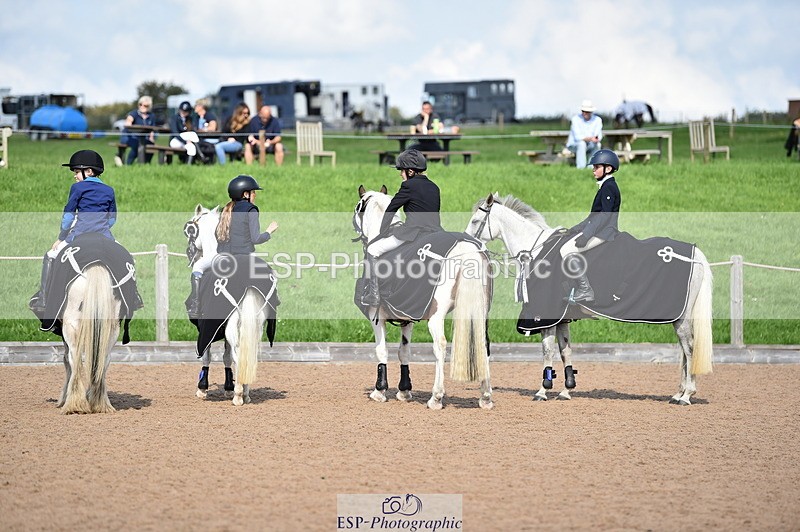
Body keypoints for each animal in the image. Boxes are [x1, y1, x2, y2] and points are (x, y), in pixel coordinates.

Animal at [59, 265, 122, 414]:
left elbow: (66, 360)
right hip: (112, 331)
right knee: (103, 362)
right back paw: (99, 403)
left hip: (71, 328)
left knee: (74, 360)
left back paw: (74, 404)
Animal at [184, 204, 270, 406]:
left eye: (191, 230)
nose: (190, 253)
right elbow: (226, 357)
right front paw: (228, 386)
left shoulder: (206, 328)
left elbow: (207, 355)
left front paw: (203, 388)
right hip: (255, 326)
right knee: (247, 355)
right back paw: (245, 392)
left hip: (232, 327)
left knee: (239, 356)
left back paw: (239, 395)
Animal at [354, 186, 494, 410]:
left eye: (358, 207)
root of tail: (466, 249)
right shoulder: (407, 316)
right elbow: (404, 351)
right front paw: (404, 391)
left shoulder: (377, 316)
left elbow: (381, 351)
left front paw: (379, 390)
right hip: (482, 312)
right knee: (483, 345)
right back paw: (485, 397)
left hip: (437, 316)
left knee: (440, 346)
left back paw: (436, 397)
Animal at [466, 193, 713, 405]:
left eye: (475, 220)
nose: (468, 242)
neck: (537, 252)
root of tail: (695, 254)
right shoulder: (562, 319)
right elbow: (565, 351)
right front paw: (566, 390)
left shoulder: (545, 316)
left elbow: (547, 351)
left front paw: (543, 390)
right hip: (679, 318)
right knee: (684, 351)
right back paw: (678, 393)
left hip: (681, 318)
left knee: (689, 349)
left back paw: (686, 395)